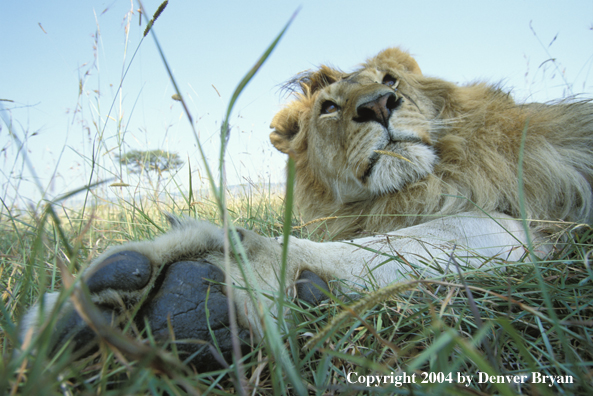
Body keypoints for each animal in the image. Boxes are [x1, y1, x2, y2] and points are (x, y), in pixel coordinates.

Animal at [22, 46, 592, 372]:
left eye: (390, 80)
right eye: (329, 108)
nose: (379, 104)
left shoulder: (539, 221)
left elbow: (415, 239)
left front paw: (207, 281)